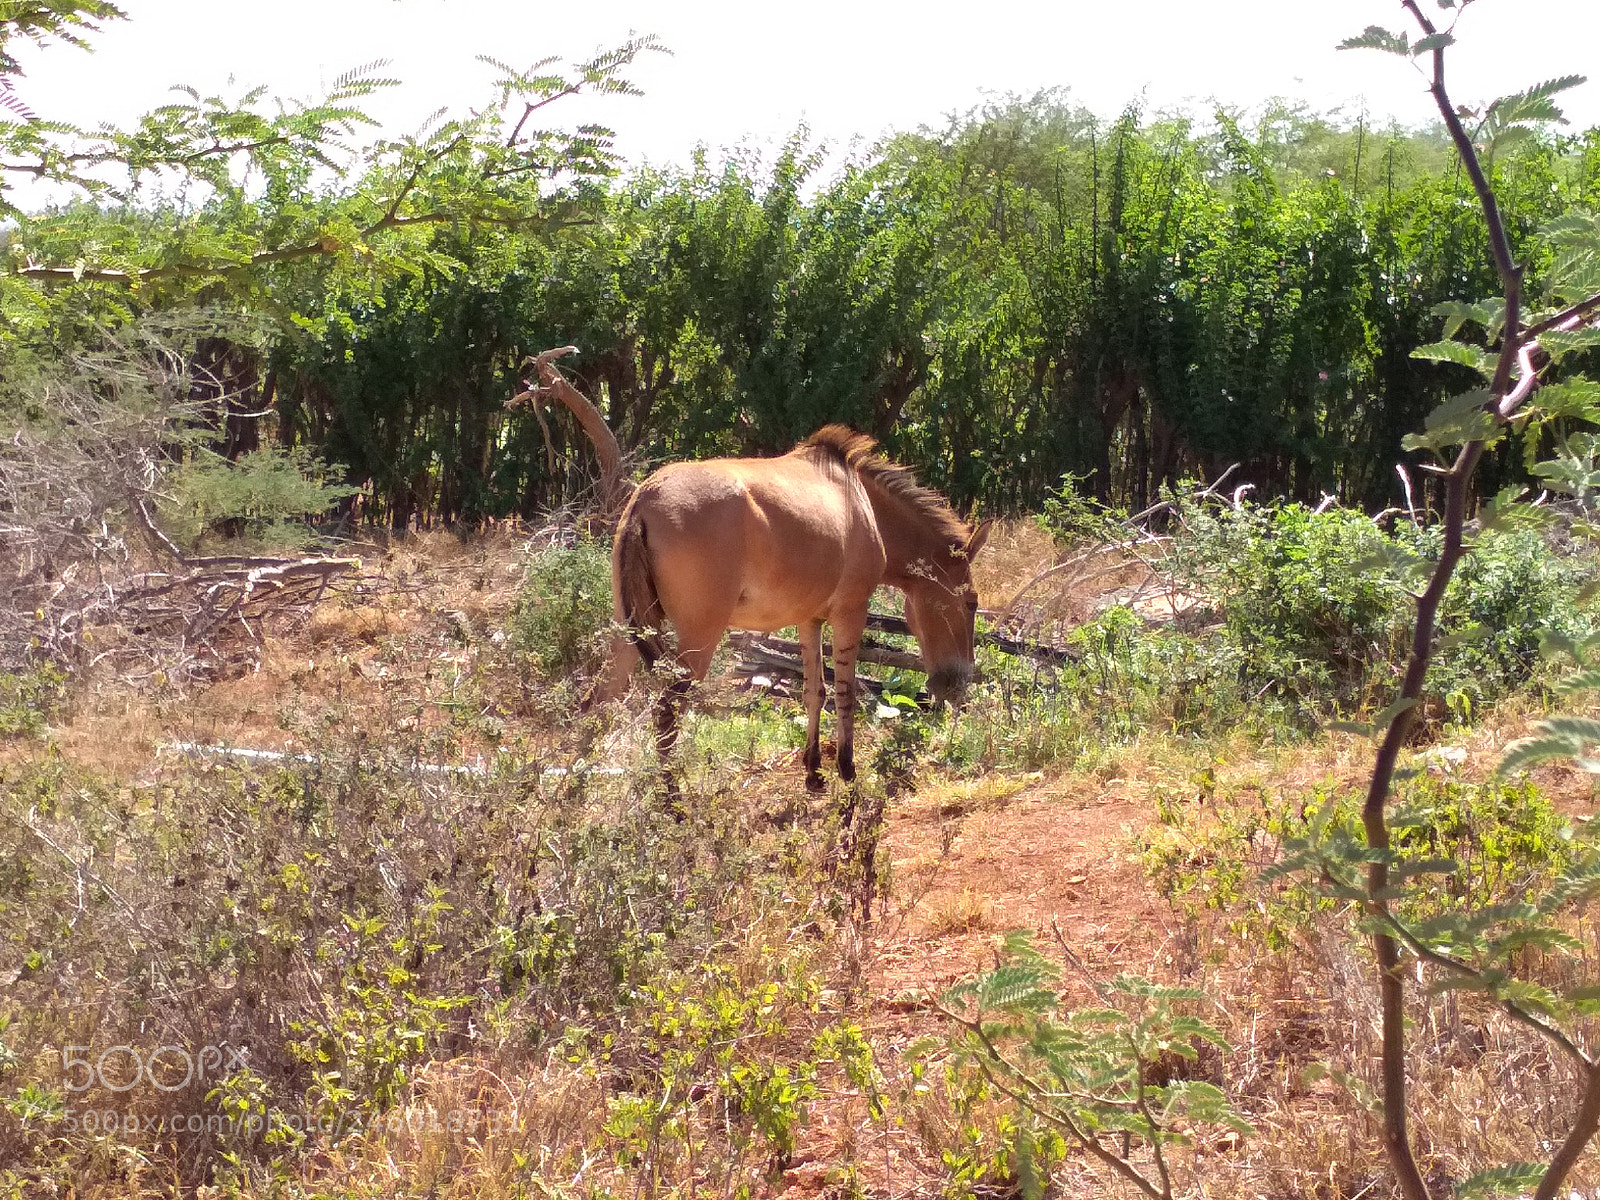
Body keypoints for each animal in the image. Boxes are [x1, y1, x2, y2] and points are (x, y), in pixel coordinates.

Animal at [592, 425, 991, 793]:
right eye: (971, 603)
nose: (959, 686)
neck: (865, 505)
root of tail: (646, 497)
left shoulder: (809, 619)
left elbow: (815, 691)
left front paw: (814, 771)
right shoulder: (850, 613)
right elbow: (845, 692)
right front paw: (847, 770)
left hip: (627, 635)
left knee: (597, 705)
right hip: (698, 639)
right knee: (667, 712)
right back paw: (674, 805)